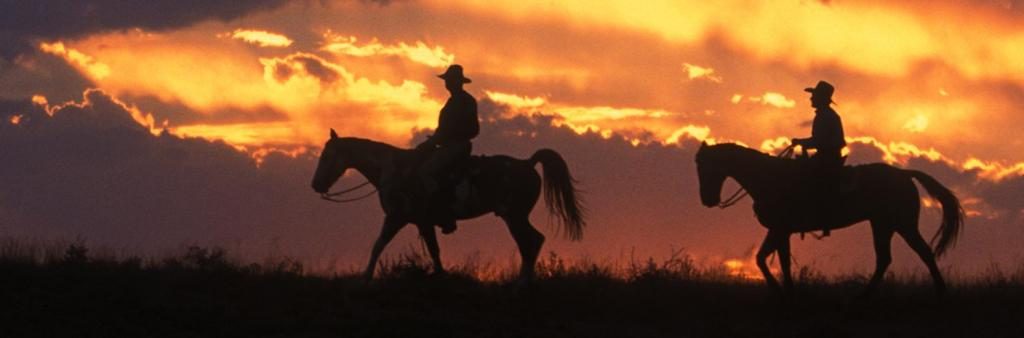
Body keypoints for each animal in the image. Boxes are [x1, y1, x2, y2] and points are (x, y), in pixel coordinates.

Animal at [309, 129, 585, 282]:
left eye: (327, 156)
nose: (316, 185)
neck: (395, 169)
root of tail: (528, 163)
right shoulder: (423, 222)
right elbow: (434, 251)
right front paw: (439, 275)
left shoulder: (396, 218)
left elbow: (378, 245)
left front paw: (365, 277)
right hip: (516, 217)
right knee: (532, 242)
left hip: (514, 217)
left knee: (530, 242)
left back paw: (522, 283)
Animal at [692, 140, 962, 294]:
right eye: (698, 166)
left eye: (706, 166)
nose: (707, 200)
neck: (770, 178)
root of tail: (904, 174)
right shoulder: (777, 230)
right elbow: (765, 259)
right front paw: (783, 290)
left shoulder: (781, 229)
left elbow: (778, 261)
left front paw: (784, 290)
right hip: (882, 225)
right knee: (885, 259)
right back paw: (865, 295)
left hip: (903, 224)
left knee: (923, 253)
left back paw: (940, 292)